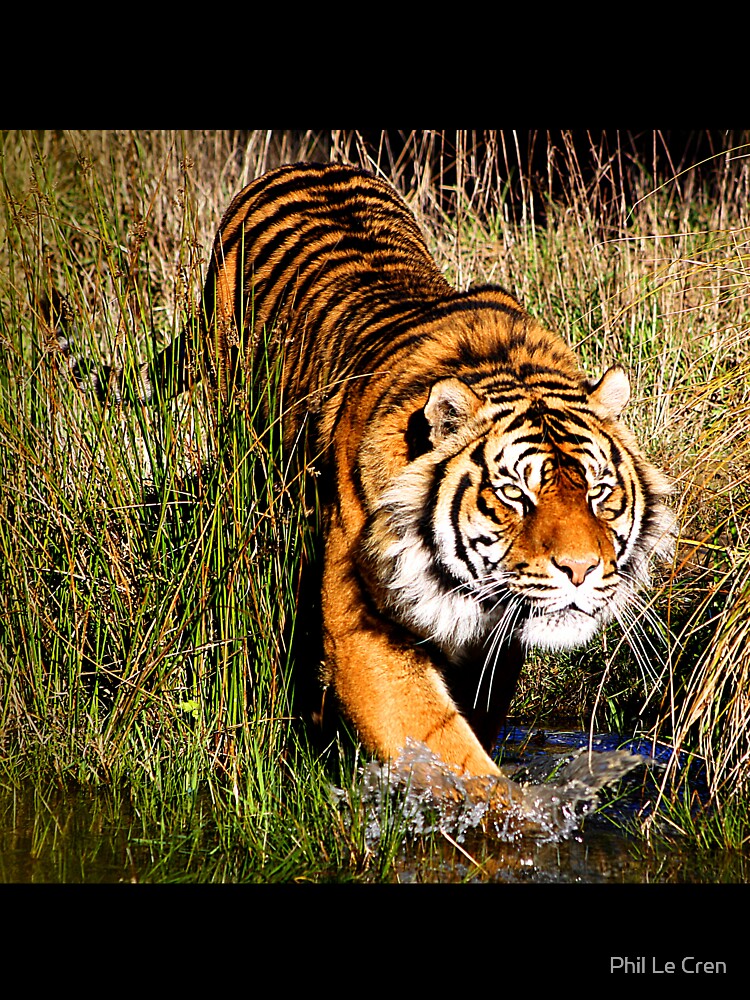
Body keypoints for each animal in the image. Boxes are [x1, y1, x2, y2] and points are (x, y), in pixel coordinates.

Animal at [53, 162, 674, 833]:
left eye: (598, 491)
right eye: (514, 495)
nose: (582, 571)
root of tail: (307, 164)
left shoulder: (495, 637)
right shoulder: (365, 628)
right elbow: (446, 749)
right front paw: (519, 824)